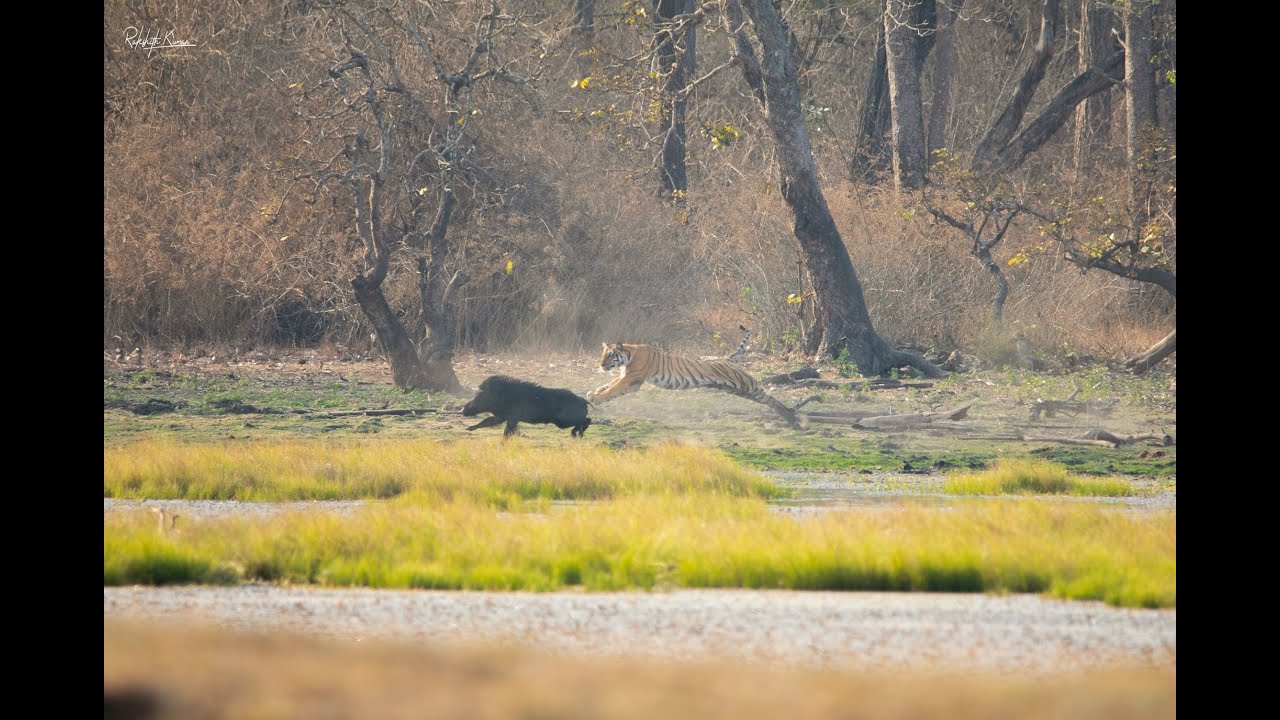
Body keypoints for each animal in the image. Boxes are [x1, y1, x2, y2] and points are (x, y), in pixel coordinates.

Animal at [586, 340, 805, 428]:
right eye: (603, 354)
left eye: (609, 355)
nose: (600, 364)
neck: (627, 356)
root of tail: (727, 359)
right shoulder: (628, 378)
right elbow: (610, 384)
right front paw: (595, 391)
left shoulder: (632, 379)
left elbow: (613, 389)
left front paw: (596, 397)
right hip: (735, 389)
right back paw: (791, 419)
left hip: (746, 384)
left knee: (769, 397)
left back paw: (793, 418)